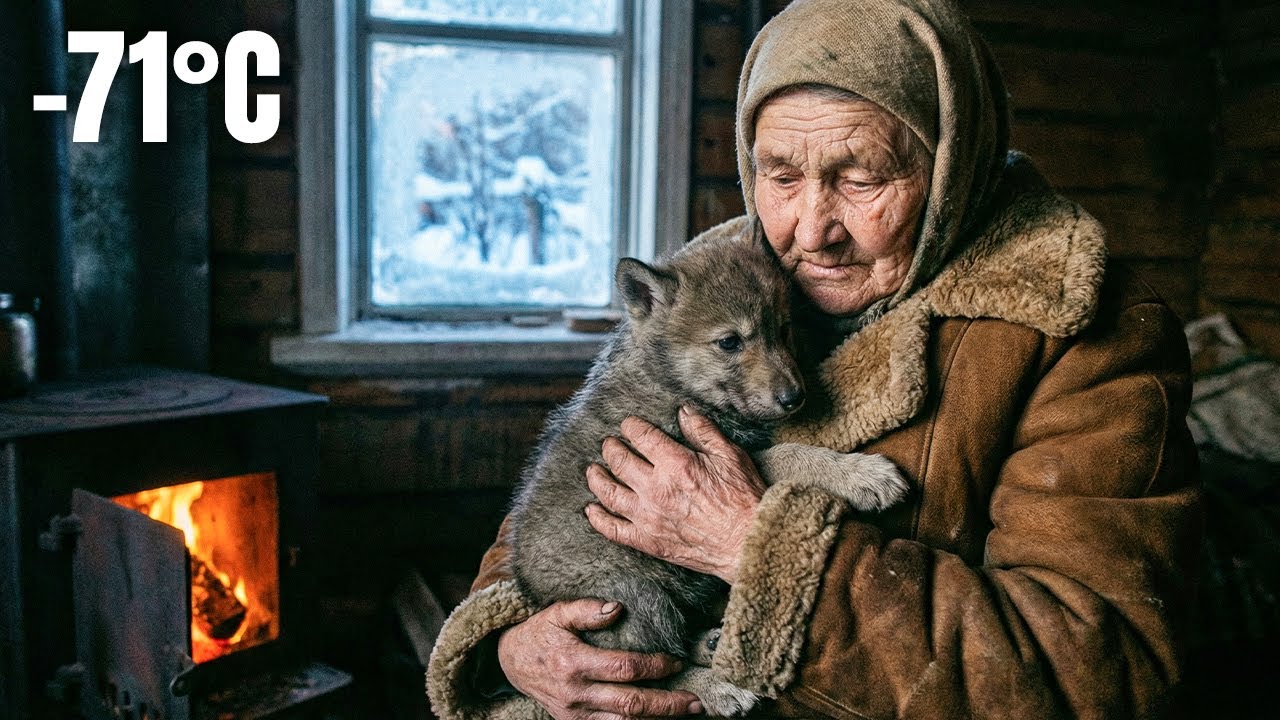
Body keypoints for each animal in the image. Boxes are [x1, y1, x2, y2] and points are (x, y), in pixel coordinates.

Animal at [508, 223, 908, 716]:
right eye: (730, 342)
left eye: (783, 329)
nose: (794, 397)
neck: (673, 382)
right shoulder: (716, 456)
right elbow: (792, 454)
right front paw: (865, 475)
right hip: (632, 595)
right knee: (649, 674)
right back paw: (717, 686)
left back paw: (711, 646)